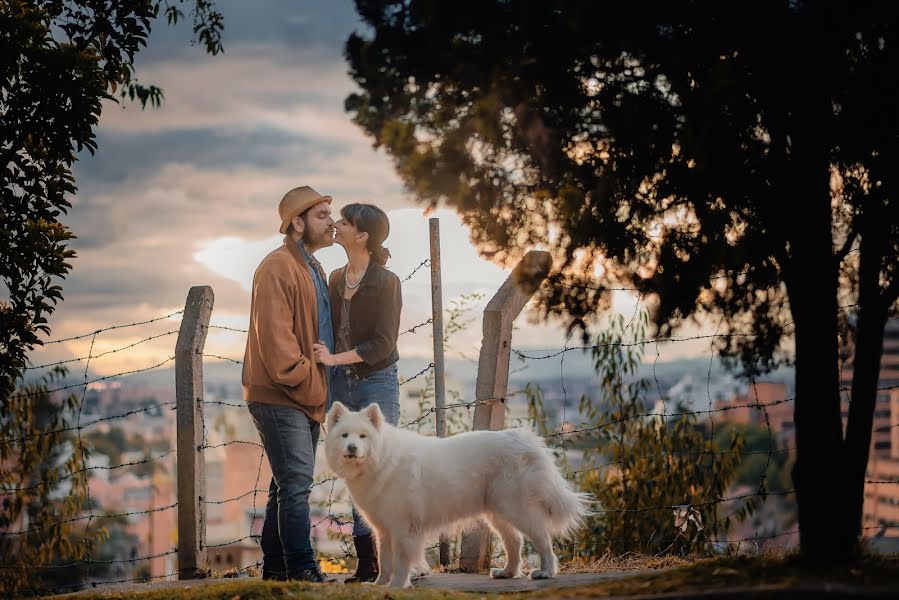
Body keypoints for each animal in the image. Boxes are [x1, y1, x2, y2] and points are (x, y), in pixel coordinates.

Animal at [324, 400, 592, 588]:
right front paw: (379, 585)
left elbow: (400, 562)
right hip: (497, 512)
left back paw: (545, 572)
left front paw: (397, 586)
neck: (382, 459)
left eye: (363, 436)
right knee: (515, 541)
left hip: (516, 509)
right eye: (344, 435)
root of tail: (525, 440)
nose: (352, 448)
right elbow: (385, 561)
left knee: (542, 539)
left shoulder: (403, 528)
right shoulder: (384, 530)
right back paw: (507, 572)